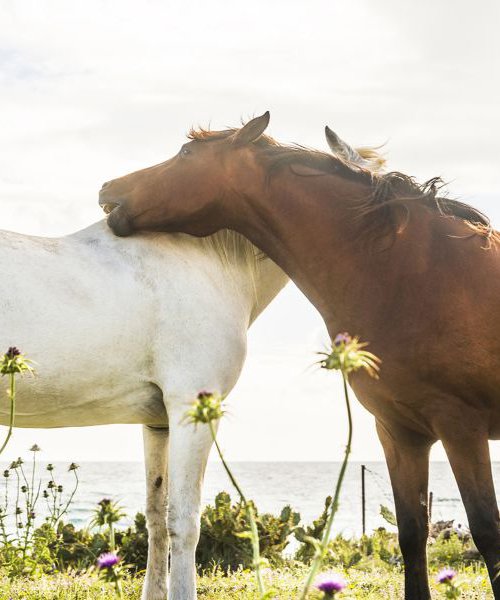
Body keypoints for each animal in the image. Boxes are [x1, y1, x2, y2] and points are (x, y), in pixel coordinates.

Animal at [98, 113, 500, 600]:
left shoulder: (461, 427)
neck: (412, 273)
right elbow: (411, 533)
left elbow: (487, 532)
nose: (108, 189)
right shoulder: (400, 432)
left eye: (186, 153)